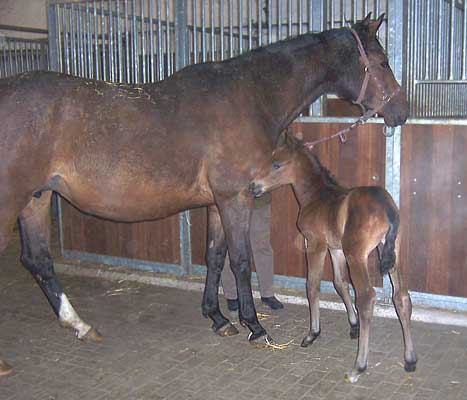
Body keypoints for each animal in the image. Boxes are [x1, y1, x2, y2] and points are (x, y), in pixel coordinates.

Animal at [250, 134, 418, 384]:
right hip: (390, 255)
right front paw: (353, 326)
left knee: (367, 298)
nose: (253, 187)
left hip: (356, 255)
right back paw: (409, 359)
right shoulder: (335, 250)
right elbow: (340, 283)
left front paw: (312, 334)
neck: (316, 196)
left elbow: (312, 286)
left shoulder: (316, 244)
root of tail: (386, 206)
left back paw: (359, 366)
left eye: (277, 164)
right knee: (402, 297)